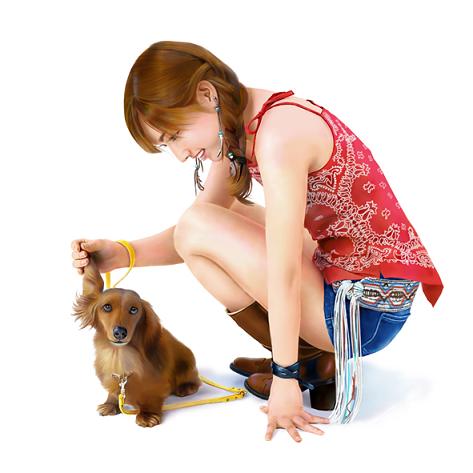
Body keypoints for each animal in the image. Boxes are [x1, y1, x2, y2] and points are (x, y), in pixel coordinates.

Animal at [71, 254, 202, 427]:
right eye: (107, 307)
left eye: (134, 309)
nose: (120, 332)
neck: (118, 355)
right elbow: (114, 392)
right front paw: (110, 404)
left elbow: (151, 396)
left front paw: (147, 415)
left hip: (188, 362)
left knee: (195, 379)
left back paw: (186, 387)